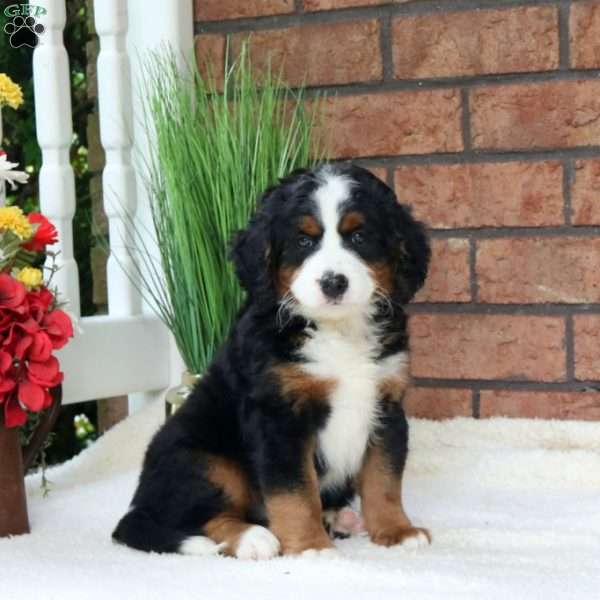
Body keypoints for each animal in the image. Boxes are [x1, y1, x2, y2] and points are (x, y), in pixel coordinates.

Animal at [112, 163, 432, 556]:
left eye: (359, 237)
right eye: (303, 241)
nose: (333, 282)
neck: (337, 330)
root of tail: (139, 505)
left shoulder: (386, 406)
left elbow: (383, 479)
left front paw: (397, 531)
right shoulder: (279, 416)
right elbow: (294, 490)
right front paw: (311, 547)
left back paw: (339, 518)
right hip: (202, 457)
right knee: (202, 517)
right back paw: (253, 538)